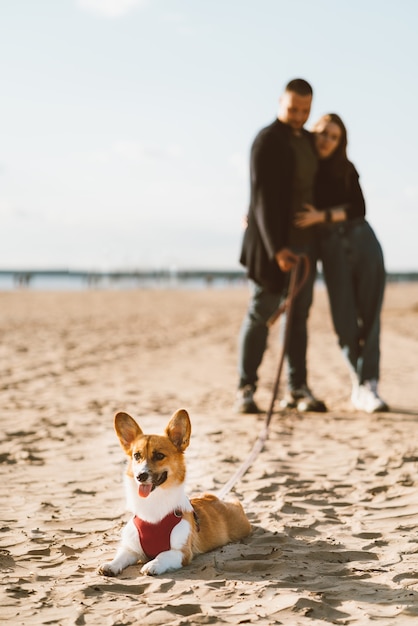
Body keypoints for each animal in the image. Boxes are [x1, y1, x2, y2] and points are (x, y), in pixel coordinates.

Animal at [99, 408, 250, 572]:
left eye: (159, 455)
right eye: (137, 455)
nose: (140, 476)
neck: (153, 503)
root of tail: (214, 497)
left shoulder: (181, 552)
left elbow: (163, 555)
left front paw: (152, 564)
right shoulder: (132, 549)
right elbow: (121, 556)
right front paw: (110, 565)